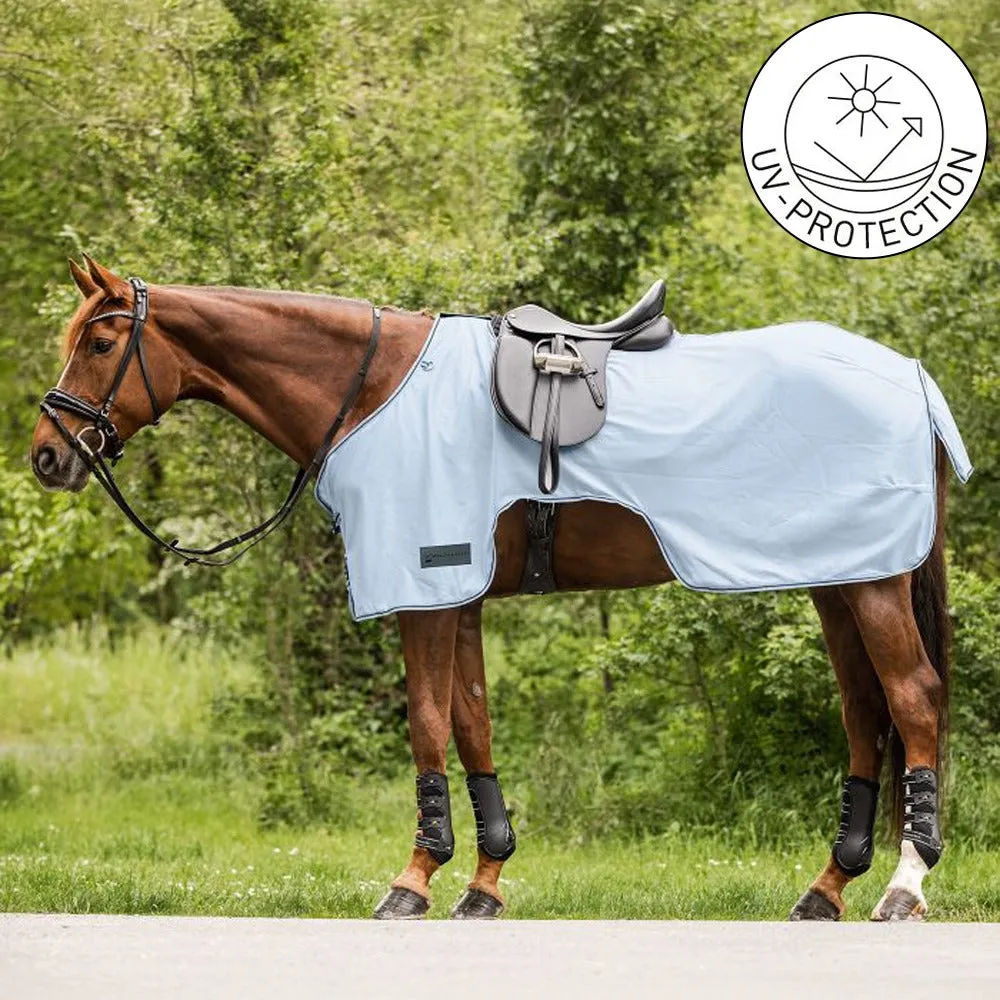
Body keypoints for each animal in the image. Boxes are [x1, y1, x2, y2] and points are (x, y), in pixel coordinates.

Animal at [31, 256, 954, 922]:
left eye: (101, 345)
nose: (47, 454)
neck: (373, 390)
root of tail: (912, 375)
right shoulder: (459, 595)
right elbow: (472, 723)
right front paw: (484, 882)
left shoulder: (423, 589)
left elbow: (427, 724)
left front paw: (412, 880)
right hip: (838, 583)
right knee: (864, 712)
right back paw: (826, 889)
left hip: (873, 585)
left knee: (912, 700)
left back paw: (903, 887)